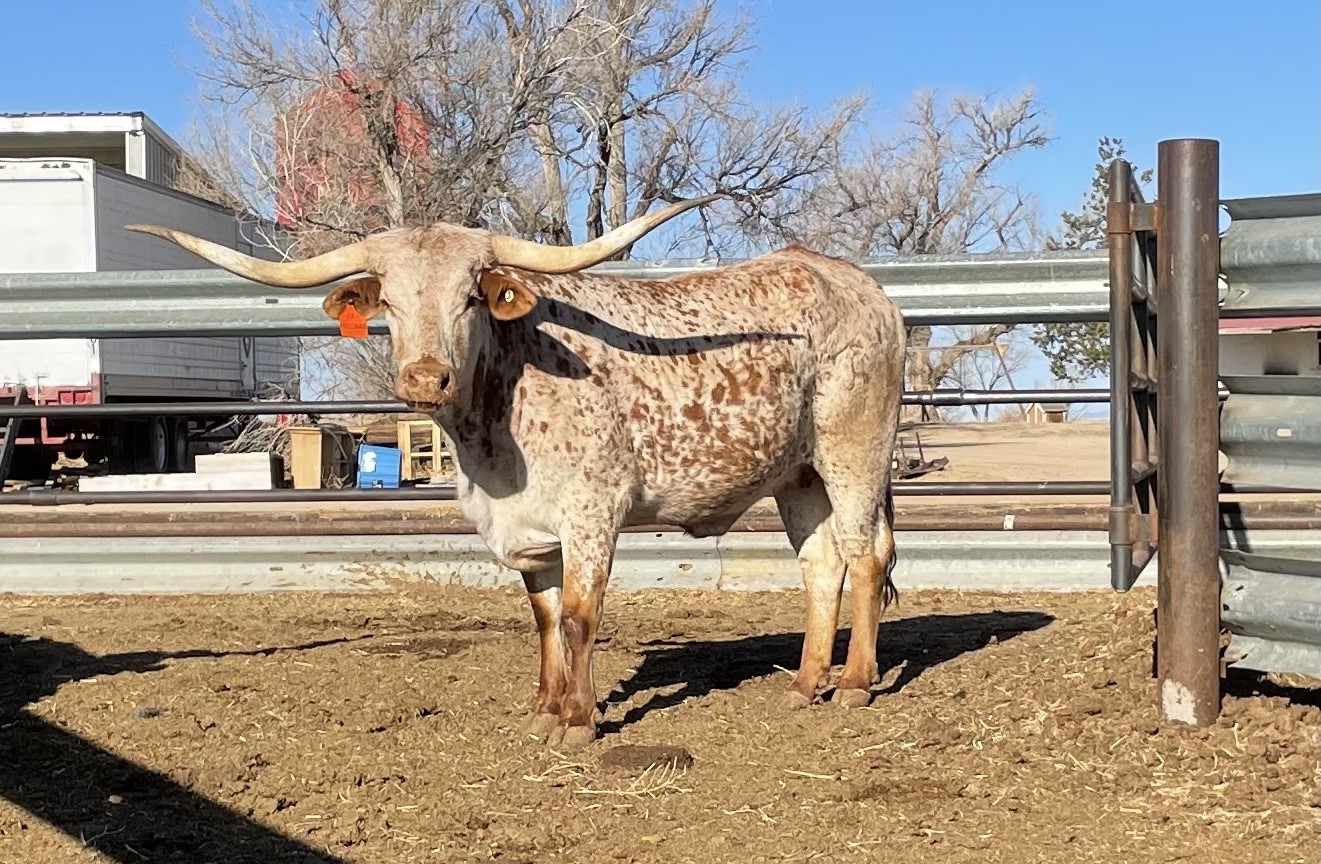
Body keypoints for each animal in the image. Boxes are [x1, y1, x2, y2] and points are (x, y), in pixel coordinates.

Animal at [127, 197, 907, 751]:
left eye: (472, 296)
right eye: (388, 303)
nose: (426, 377)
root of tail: (862, 285)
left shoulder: (593, 513)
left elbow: (582, 616)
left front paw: (579, 721)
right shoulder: (527, 532)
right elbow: (545, 618)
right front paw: (543, 709)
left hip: (854, 451)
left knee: (866, 555)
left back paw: (855, 682)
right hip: (797, 476)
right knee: (821, 564)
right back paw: (805, 682)